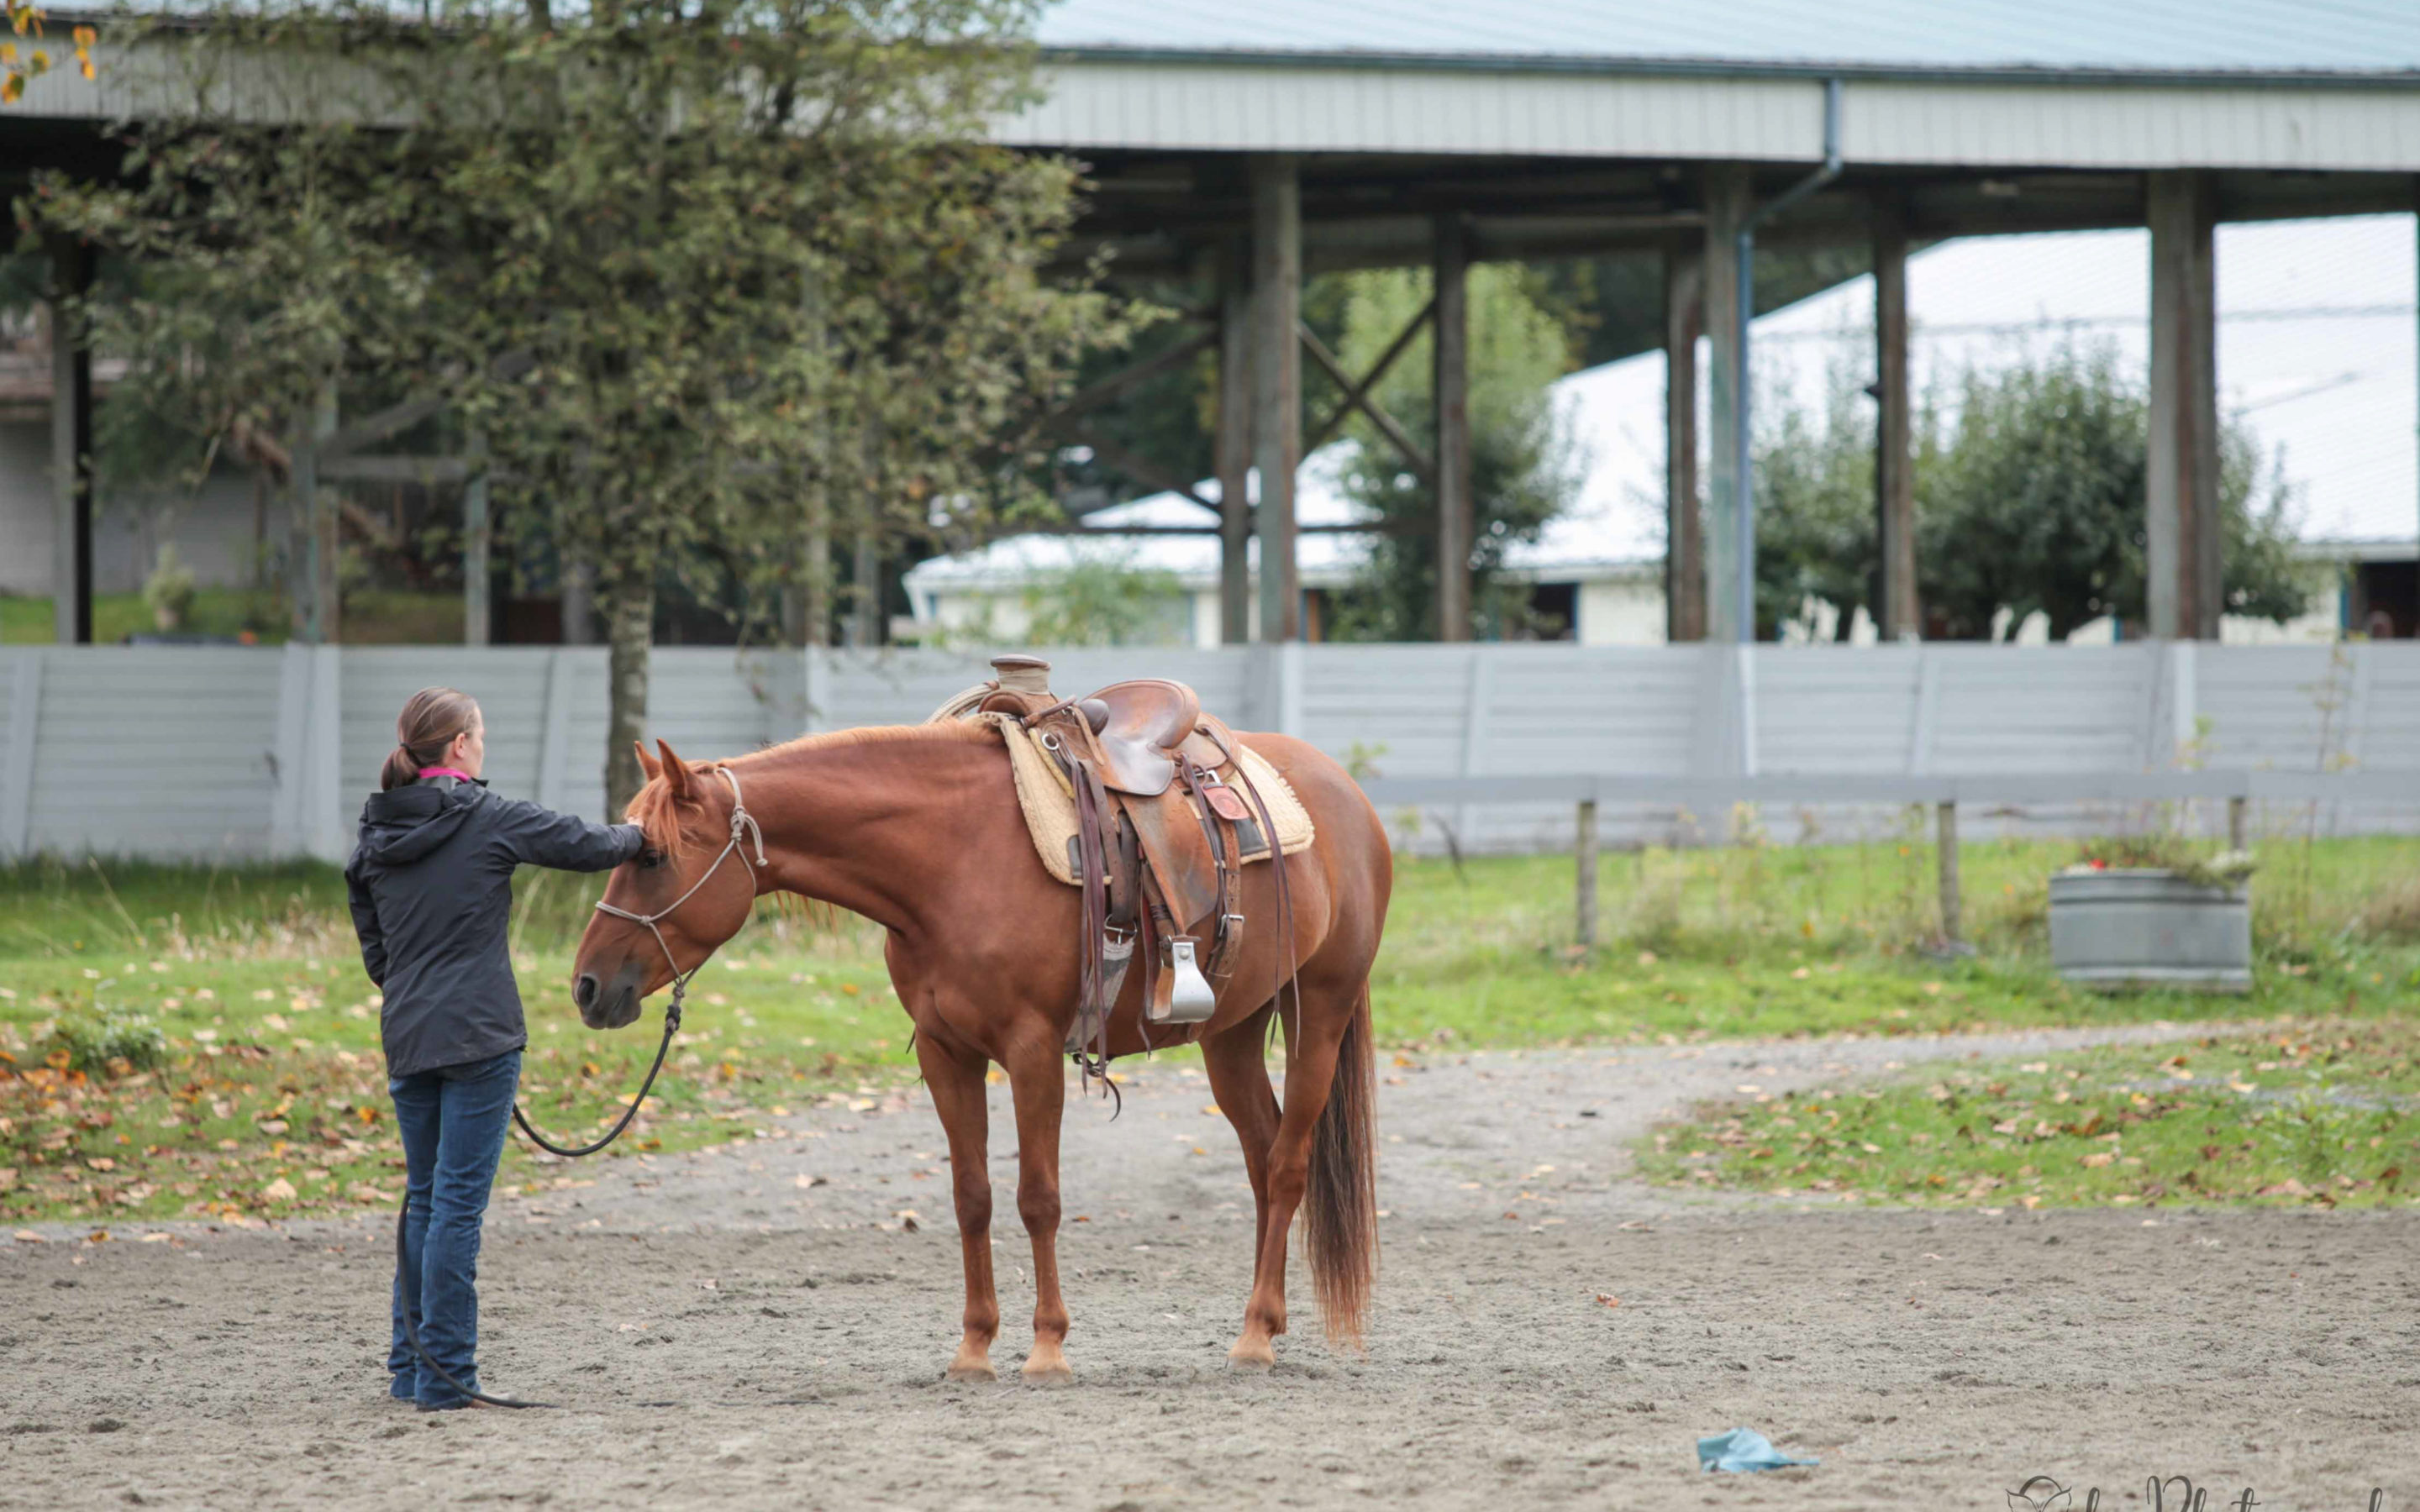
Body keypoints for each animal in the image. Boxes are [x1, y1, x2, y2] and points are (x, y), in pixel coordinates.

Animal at [566, 721, 1393, 1383]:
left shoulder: (1032, 1051)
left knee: (1286, 1166)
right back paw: (1265, 1324)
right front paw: (973, 1349)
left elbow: (1038, 1199)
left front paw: (1047, 1349)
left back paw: (1253, 1338)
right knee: (1260, 1157)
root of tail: (1349, 797)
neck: (952, 858)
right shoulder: (945, 1054)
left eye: (652, 857)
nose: (587, 987)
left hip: (1320, 1011)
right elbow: (972, 1198)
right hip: (1233, 1032)